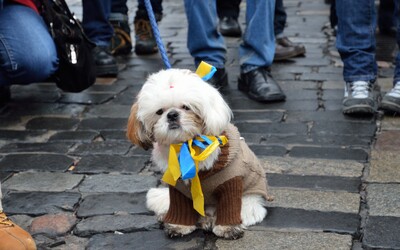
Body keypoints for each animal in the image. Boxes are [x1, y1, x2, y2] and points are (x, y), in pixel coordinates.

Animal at [127, 69, 272, 240]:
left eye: (186, 107)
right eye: (159, 112)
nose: (172, 115)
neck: (187, 146)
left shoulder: (230, 182)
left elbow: (229, 207)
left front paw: (228, 228)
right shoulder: (178, 187)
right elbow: (180, 208)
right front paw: (179, 225)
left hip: (249, 199)